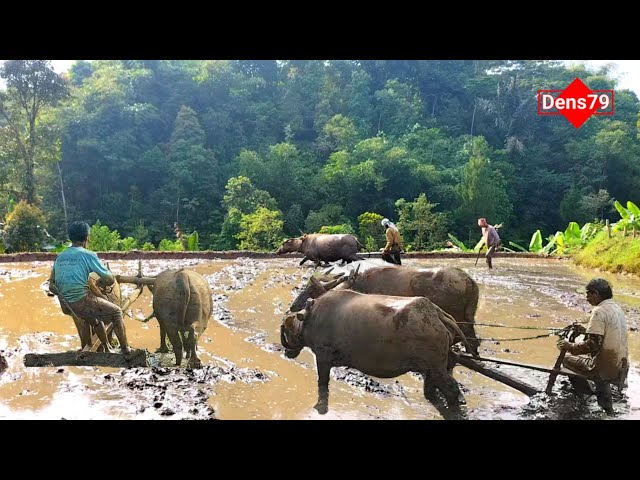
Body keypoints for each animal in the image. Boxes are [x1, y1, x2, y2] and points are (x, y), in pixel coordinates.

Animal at [282, 280, 468, 414]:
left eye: (286, 330)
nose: (287, 352)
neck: (308, 318)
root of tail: (438, 315)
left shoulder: (322, 356)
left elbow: (322, 383)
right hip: (431, 364)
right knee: (433, 381)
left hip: (434, 361)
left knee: (450, 387)